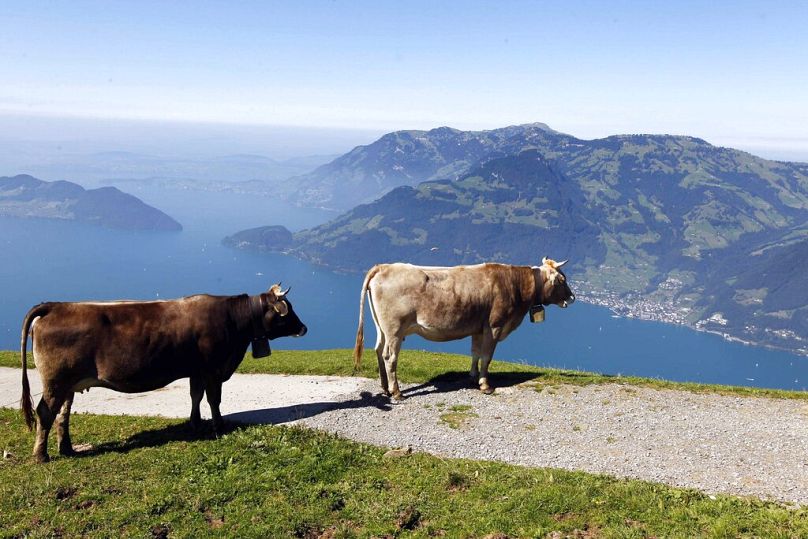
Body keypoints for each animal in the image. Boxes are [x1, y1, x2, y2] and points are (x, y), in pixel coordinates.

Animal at [20, 284, 307, 462]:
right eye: (288, 310)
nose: (304, 327)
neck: (234, 323)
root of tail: (55, 306)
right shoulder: (213, 368)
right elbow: (214, 399)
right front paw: (218, 426)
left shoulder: (196, 371)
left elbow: (195, 396)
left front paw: (195, 424)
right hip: (55, 381)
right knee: (45, 412)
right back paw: (41, 455)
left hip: (67, 384)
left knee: (62, 415)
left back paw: (67, 449)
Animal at [353, 258, 575, 400]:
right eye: (562, 280)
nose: (572, 297)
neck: (515, 285)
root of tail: (383, 267)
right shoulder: (495, 326)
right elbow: (487, 356)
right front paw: (485, 385)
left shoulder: (478, 328)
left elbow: (475, 353)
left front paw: (472, 377)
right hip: (395, 329)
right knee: (390, 357)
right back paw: (397, 392)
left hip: (382, 328)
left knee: (378, 350)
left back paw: (385, 388)